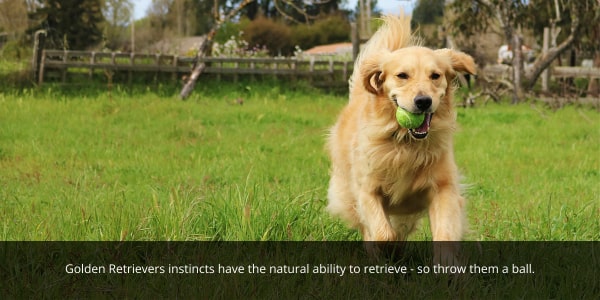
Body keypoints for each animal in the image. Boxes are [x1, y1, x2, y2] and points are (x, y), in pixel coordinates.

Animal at [326, 14, 476, 262]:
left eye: (435, 76)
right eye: (402, 75)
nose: (423, 101)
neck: (405, 144)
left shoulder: (443, 187)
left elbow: (445, 232)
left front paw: (447, 264)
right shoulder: (367, 190)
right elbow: (384, 234)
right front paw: (390, 249)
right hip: (348, 191)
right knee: (367, 227)